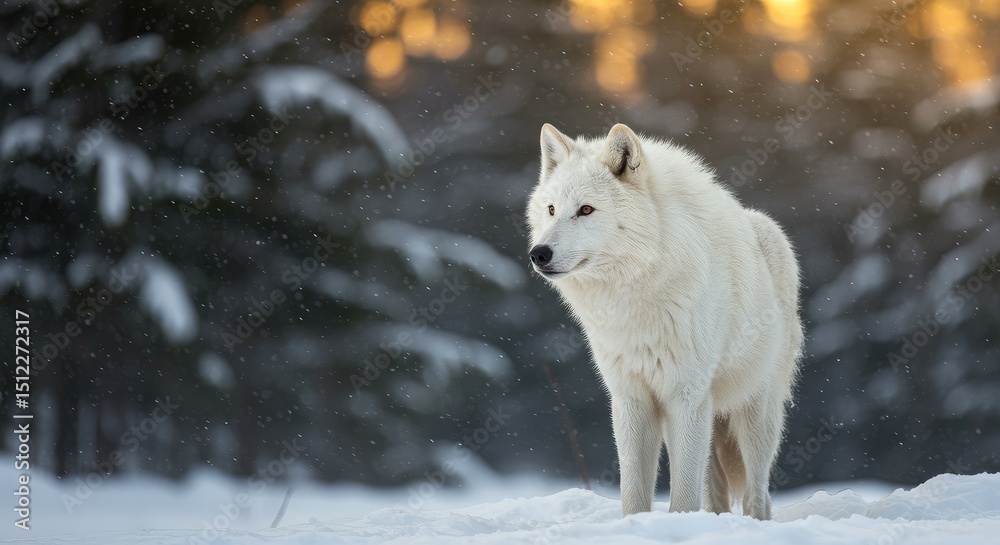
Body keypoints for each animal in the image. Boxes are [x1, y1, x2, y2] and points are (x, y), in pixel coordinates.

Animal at [526, 123, 803, 519]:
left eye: (586, 210)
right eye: (550, 210)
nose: (539, 254)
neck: (636, 296)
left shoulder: (685, 396)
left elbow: (683, 496)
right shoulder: (631, 398)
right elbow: (634, 493)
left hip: (753, 413)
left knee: (757, 493)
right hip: (709, 419)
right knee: (714, 494)